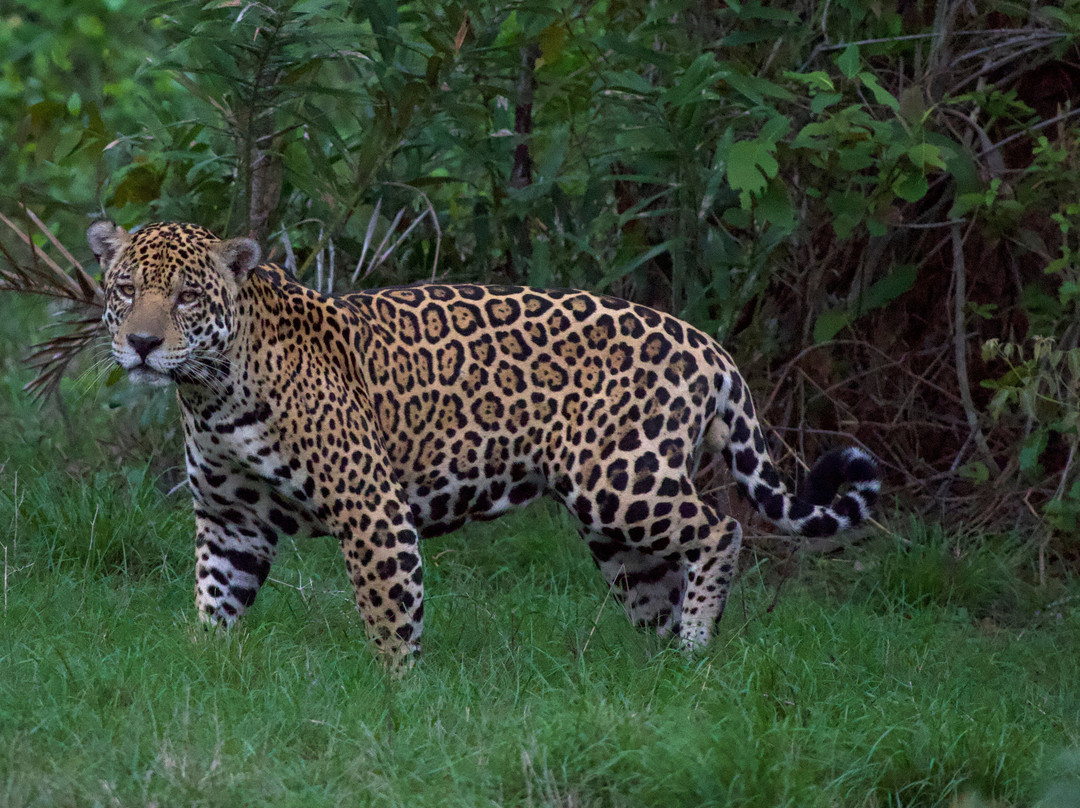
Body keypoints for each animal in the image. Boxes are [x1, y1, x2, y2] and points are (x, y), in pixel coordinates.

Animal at [87, 219, 879, 664]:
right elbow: (215, 603)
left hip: (621, 481)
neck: (211, 392)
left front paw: (397, 694)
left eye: (187, 297)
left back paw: (696, 642)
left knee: (721, 529)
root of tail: (708, 346)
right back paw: (665, 675)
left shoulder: (369, 507)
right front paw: (203, 675)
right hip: (617, 531)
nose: (143, 344)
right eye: (125, 290)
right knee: (659, 586)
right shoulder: (231, 522)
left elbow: (390, 613)